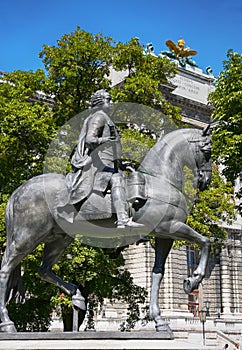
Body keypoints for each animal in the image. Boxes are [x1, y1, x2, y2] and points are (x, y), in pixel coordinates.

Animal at [0, 126, 212, 334]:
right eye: (207, 151)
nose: (206, 180)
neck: (159, 182)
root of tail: (18, 191)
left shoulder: (164, 236)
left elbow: (157, 274)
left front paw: (160, 320)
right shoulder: (170, 226)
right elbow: (205, 241)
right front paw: (193, 279)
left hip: (59, 238)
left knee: (43, 270)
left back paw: (77, 296)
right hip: (27, 236)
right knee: (5, 269)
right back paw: (7, 323)